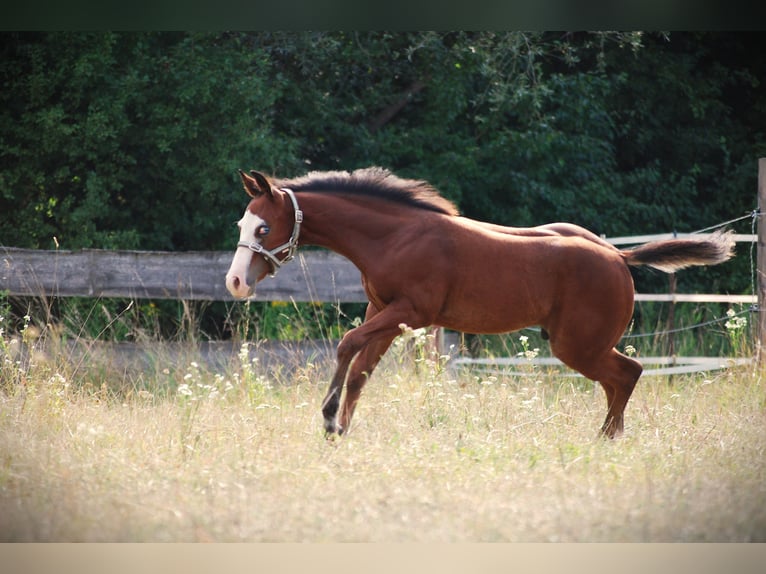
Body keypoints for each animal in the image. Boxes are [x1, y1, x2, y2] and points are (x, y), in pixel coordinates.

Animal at [225, 167, 735, 438]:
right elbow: (361, 369)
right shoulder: (383, 313)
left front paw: (330, 420)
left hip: (578, 345)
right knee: (621, 378)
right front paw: (341, 431)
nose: (235, 282)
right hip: (580, 345)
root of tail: (618, 256)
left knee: (628, 373)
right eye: (241, 225)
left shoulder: (411, 313)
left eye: (264, 228)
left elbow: (347, 343)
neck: (395, 237)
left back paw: (605, 441)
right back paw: (609, 438)